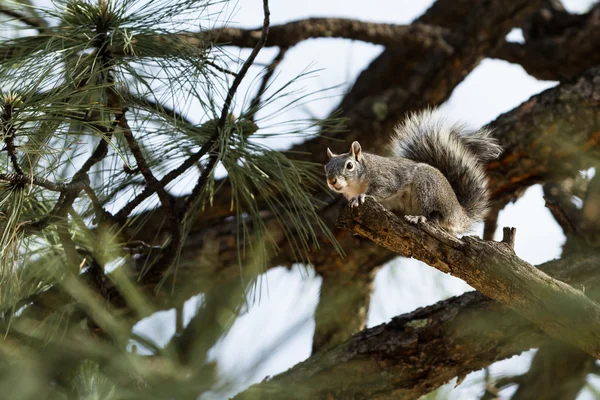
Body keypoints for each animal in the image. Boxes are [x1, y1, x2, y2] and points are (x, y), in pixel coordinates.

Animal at [324, 108, 502, 236]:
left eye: (349, 166)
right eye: (326, 168)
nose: (332, 181)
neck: (356, 184)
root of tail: (459, 212)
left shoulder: (386, 177)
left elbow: (383, 189)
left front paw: (362, 196)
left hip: (428, 188)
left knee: (434, 216)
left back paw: (419, 217)